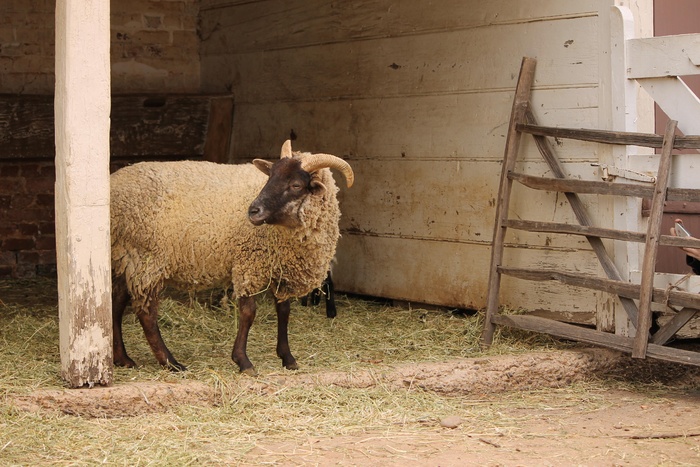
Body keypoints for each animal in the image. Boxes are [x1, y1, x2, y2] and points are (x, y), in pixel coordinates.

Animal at [111, 140, 352, 376]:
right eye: (270, 177)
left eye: (296, 185)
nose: (253, 211)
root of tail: (113, 185)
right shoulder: (247, 264)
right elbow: (248, 313)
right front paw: (243, 361)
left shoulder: (280, 269)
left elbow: (284, 312)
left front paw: (288, 358)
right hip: (146, 259)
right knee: (147, 313)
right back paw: (171, 363)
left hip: (125, 258)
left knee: (116, 303)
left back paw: (123, 359)